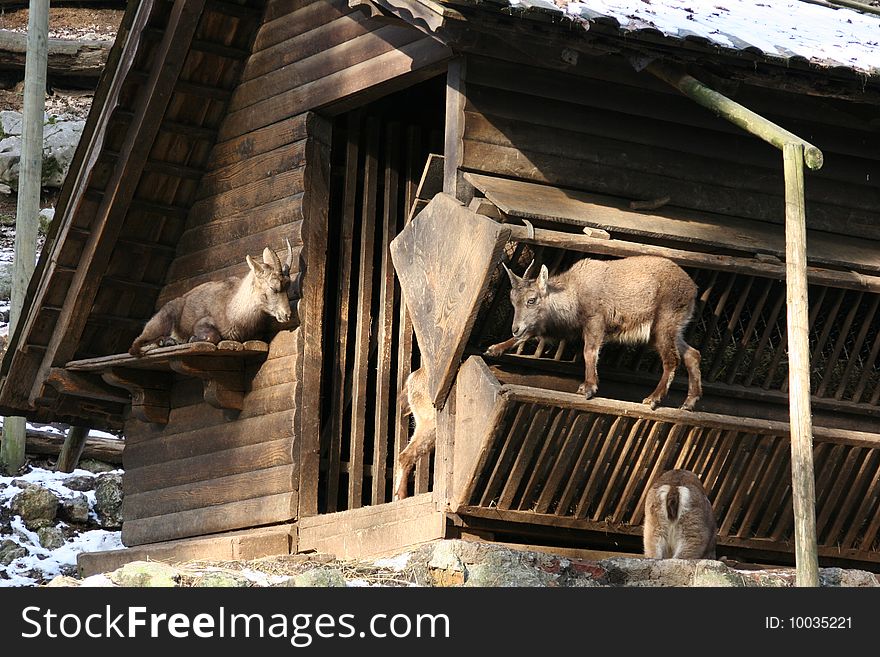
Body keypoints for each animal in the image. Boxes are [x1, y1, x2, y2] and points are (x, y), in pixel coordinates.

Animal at [129, 240, 296, 356]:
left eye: (288, 285)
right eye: (273, 288)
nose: (287, 315)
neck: (234, 310)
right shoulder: (203, 322)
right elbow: (213, 336)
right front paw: (192, 339)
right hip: (164, 318)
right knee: (136, 345)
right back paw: (167, 341)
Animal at [484, 255, 704, 410]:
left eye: (531, 300)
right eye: (513, 301)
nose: (515, 328)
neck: (574, 291)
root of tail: (693, 288)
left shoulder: (595, 321)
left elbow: (589, 352)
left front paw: (588, 387)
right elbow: (530, 334)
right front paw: (494, 349)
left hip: (663, 323)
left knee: (672, 360)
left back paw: (653, 399)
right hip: (674, 329)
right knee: (692, 354)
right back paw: (688, 403)